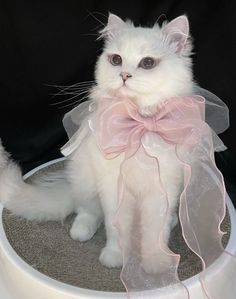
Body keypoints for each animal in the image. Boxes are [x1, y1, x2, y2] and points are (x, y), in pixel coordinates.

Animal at [0, 14, 195, 272]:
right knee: (87, 212)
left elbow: (155, 231)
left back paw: (172, 222)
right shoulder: (112, 186)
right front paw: (114, 258)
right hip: (86, 180)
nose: (124, 76)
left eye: (147, 63)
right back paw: (81, 232)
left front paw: (157, 263)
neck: (137, 126)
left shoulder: (164, 188)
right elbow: (115, 226)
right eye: (116, 60)